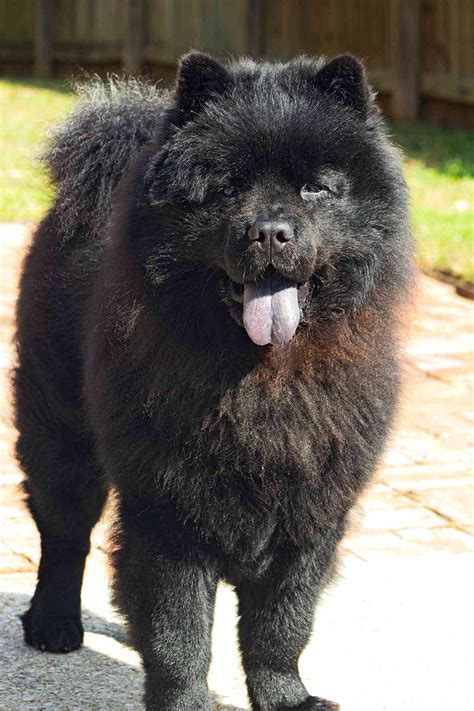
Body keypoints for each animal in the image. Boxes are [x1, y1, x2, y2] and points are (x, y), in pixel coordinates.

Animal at [15, 52, 412, 708]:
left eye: (315, 188)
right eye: (226, 188)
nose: (271, 231)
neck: (262, 375)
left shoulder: (310, 514)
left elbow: (282, 626)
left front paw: (288, 698)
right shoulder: (169, 515)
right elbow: (180, 634)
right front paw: (184, 700)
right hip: (59, 426)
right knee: (64, 530)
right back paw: (53, 624)